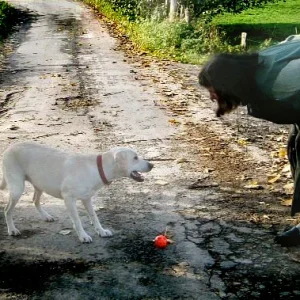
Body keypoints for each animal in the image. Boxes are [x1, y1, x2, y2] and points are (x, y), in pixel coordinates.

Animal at [0, 142, 154, 243]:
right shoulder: (68, 199)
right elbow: (77, 220)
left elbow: (94, 216)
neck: (98, 168)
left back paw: (45, 216)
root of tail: (9, 147)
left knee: (35, 200)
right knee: (7, 210)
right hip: (17, 189)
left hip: (39, 184)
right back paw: (12, 229)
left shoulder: (87, 199)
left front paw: (101, 231)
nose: (152, 165)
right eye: (135, 157)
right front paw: (83, 236)